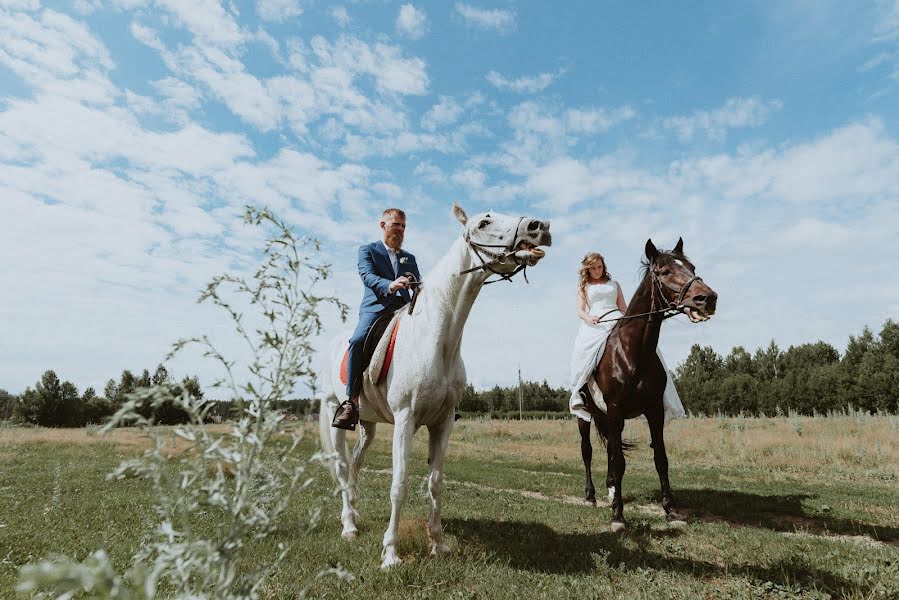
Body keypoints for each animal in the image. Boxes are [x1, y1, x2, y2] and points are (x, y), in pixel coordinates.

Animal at [320, 204, 552, 568]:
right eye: (483, 222)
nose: (538, 227)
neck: (436, 337)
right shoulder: (405, 420)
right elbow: (399, 484)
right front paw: (391, 554)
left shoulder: (442, 423)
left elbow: (436, 483)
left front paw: (438, 544)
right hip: (336, 414)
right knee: (343, 469)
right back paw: (349, 527)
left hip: (368, 424)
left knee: (356, 464)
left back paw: (355, 514)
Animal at [580, 237, 720, 532]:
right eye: (664, 272)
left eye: (691, 267)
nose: (708, 298)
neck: (634, 351)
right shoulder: (615, 409)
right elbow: (619, 461)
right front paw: (618, 516)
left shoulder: (653, 411)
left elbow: (660, 459)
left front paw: (671, 511)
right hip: (584, 416)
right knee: (587, 451)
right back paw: (590, 496)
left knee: (609, 451)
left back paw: (610, 490)